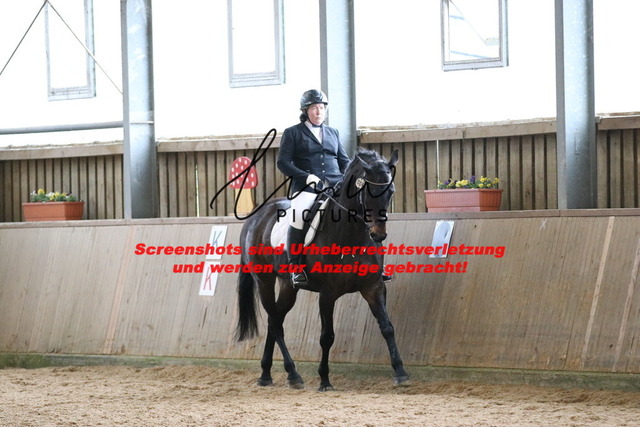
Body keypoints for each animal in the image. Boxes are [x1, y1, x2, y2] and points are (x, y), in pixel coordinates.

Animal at [236, 147, 409, 391]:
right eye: (368, 191)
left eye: (390, 191)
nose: (378, 235)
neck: (352, 235)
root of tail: (256, 217)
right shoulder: (328, 293)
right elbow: (327, 336)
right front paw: (325, 380)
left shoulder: (373, 287)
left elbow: (387, 327)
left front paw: (401, 372)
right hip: (264, 281)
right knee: (276, 324)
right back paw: (293, 374)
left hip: (289, 285)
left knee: (274, 320)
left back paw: (266, 375)